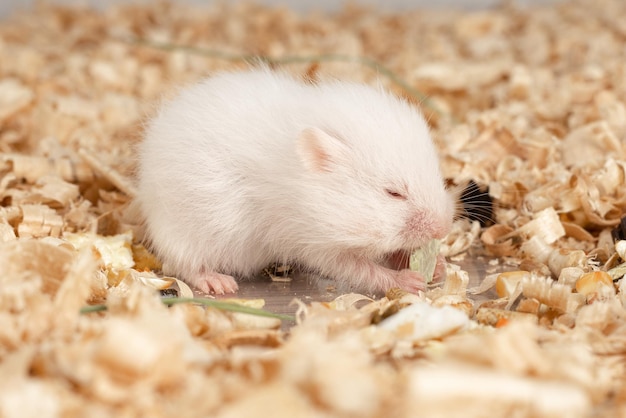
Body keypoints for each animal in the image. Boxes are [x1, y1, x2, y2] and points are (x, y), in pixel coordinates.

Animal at [138, 68, 454, 296]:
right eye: (394, 193)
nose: (444, 229)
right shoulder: (314, 244)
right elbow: (362, 269)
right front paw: (412, 281)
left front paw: (438, 267)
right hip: (185, 235)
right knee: (183, 265)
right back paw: (220, 284)